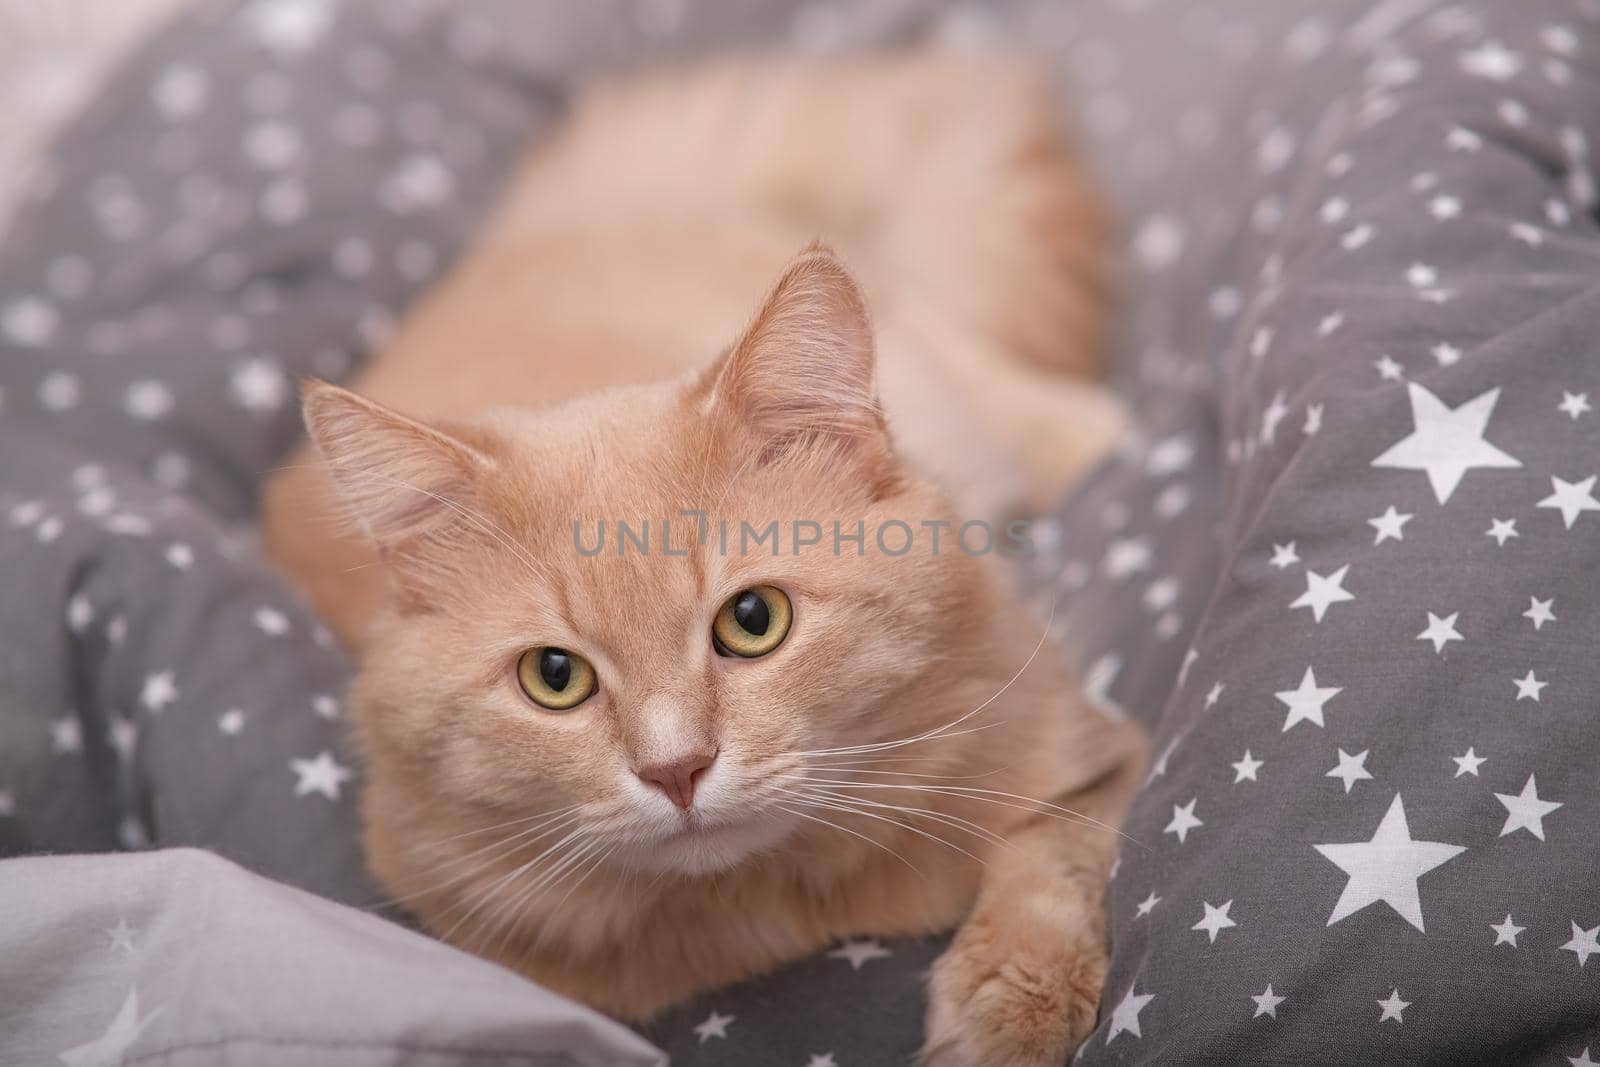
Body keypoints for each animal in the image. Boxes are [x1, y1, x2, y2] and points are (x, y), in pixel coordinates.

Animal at [265, 54, 1139, 1062]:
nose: (676, 771)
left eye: (753, 621)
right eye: (554, 676)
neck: (781, 902)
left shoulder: (1095, 754)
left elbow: (1045, 867)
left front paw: (1006, 1012)